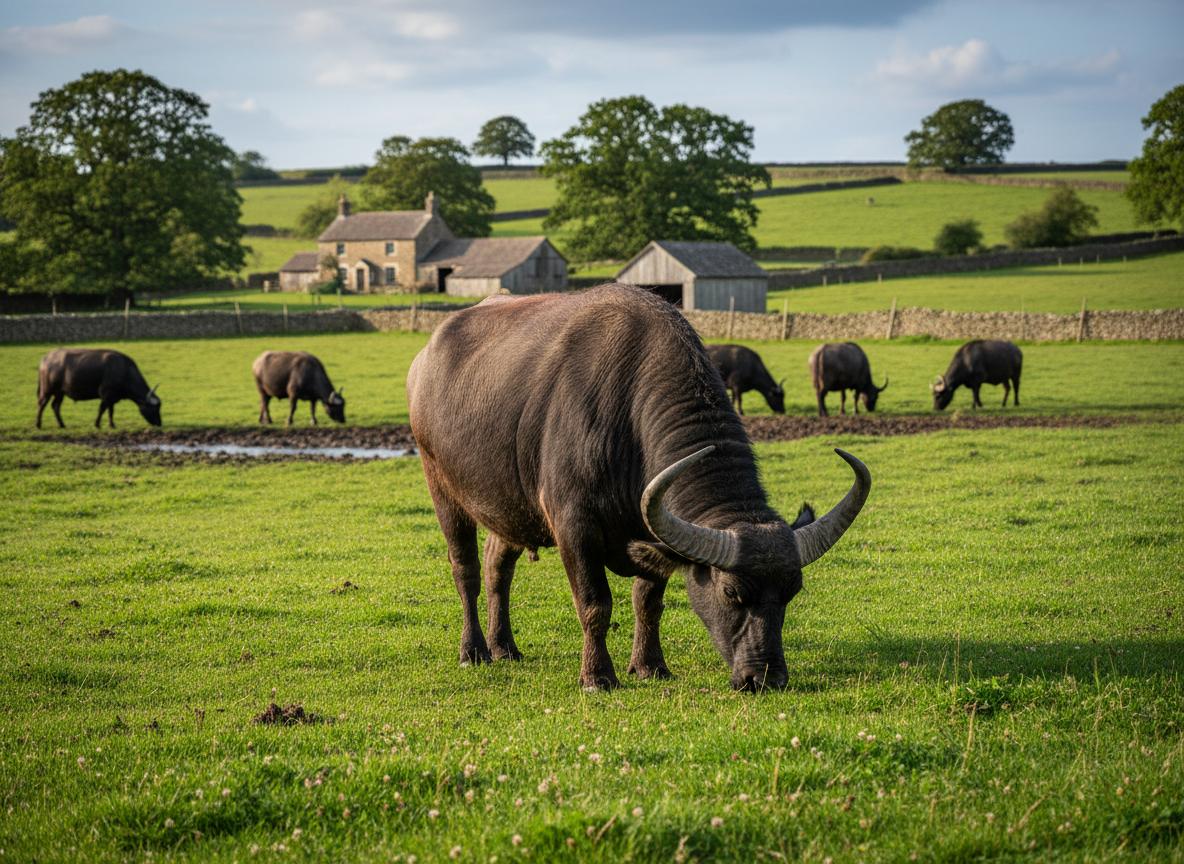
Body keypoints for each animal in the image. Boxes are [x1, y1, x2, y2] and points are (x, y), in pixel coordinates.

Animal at [408, 284, 870, 692]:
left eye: (792, 592)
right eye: (732, 592)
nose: (766, 678)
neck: (627, 413)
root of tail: (424, 360)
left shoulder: (653, 528)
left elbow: (648, 602)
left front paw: (650, 666)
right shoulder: (574, 526)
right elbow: (595, 604)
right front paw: (598, 677)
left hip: (508, 506)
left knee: (497, 567)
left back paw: (504, 646)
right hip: (440, 486)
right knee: (465, 569)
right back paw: (474, 651)